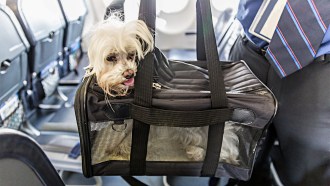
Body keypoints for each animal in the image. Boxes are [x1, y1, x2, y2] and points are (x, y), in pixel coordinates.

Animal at [85, 17, 240, 165]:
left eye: (132, 55)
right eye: (110, 57)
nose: (129, 74)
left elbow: (130, 138)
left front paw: (121, 149)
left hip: (196, 130)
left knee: (224, 150)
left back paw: (197, 152)